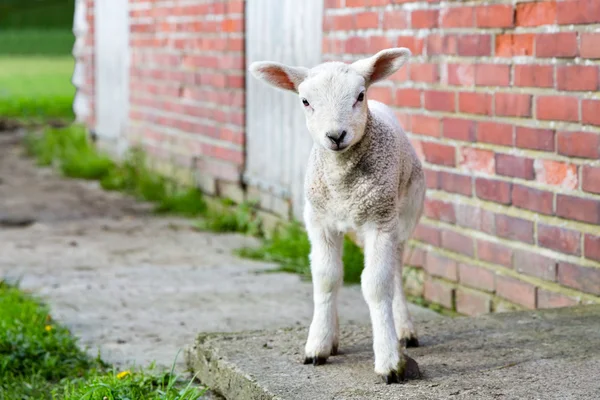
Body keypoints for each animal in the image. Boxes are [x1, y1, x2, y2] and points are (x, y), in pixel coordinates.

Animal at [251, 47, 424, 384]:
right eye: (305, 101)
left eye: (360, 95)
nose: (335, 135)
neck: (343, 183)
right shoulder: (318, 221)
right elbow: (326, 278)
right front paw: (318, 344)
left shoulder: (380, 220)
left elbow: (376, 285)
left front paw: (389, 361)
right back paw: (333, 335)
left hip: (405, 214)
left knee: (396, 270)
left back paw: (405, 330)